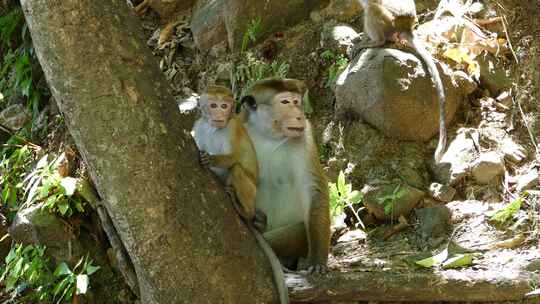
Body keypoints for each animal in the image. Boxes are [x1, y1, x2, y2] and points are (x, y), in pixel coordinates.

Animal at [191, 85, 288, 304]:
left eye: (224, 106)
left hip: (251, 191)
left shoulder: (233, 127)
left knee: (236, 170)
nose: (220, 114)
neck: (213, 128)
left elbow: (235, 157)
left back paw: (245, 212)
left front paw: (209, 159)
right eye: (214, 105)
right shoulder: (199, 125)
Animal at [242, 78, 334, 274]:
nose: (300, 116)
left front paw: (317, 261)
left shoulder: (305, 137)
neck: (268, 136)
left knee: (298, 232)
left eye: (296, 102)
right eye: (285, 102)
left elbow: (313, 189)